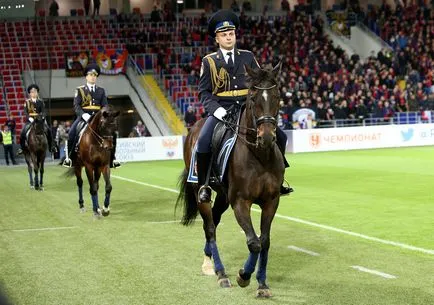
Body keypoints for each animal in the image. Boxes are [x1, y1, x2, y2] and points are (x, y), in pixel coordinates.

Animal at [176, 63, 284, 296]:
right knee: (209, 228)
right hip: (202, 192)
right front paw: (243, 275)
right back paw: (221, 273)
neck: (259, 155)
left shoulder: (271, 201)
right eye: (252, 97)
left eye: (277, 96)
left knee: (214, 222)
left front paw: (262, 284)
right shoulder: (240, 202)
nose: (267, 137)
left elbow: (264, 241)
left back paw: (209, 262)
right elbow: (253, 242)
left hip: (223, 196)